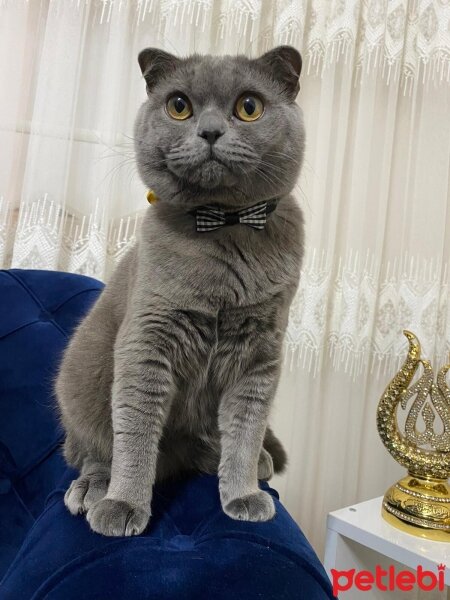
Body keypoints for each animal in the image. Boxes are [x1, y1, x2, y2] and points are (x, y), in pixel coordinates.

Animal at [55, 44, 306, 536]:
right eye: (179, 106)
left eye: (249, 107)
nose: (209, 131)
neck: (224, 225)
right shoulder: (146, 341)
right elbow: (134, 433)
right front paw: (124, 504)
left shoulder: (260, 353)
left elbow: (246, 429)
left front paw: (243, 493)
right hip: (84, 375)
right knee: (92, 448)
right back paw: (95, 489)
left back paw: (254, 463)